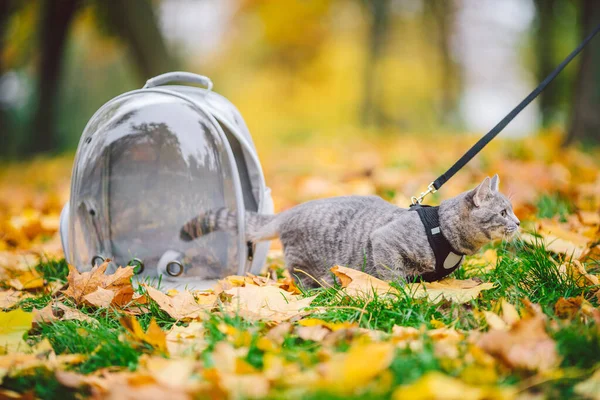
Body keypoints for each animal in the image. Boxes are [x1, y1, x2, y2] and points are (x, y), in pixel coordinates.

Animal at [180, 177, 516, 286]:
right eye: (503, 212)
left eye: (513, 210)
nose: (519, 223)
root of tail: (291, 212)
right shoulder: (386, 241)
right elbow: (393, 275)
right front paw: (401, 293)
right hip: (305, 262)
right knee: (300, 278)